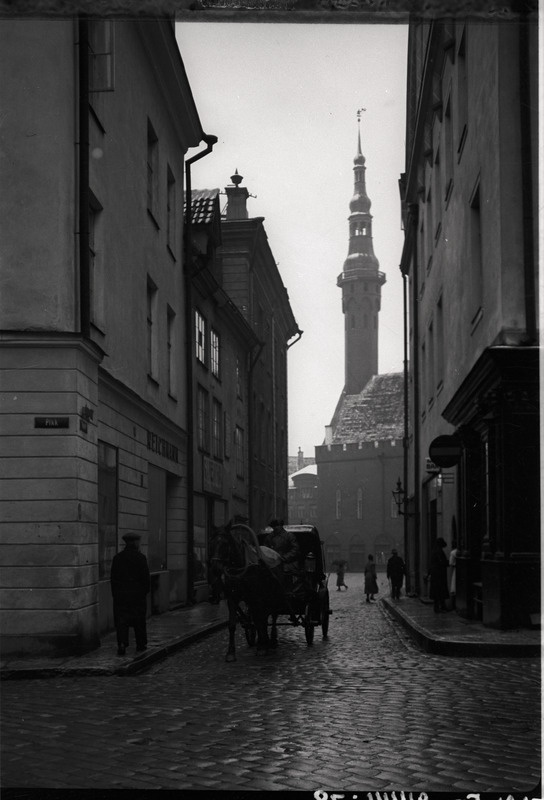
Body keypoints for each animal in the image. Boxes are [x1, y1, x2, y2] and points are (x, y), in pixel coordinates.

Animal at [208, 520, 284, 660]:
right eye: (211, 543)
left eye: (225, 544)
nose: (215, 568)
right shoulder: (232, 598)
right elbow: (232, 625)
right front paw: (230, 653)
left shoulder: (256, 597)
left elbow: (260, 620)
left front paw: (261, 647)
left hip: (273, 595)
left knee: (273, 615)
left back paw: (271, 640)